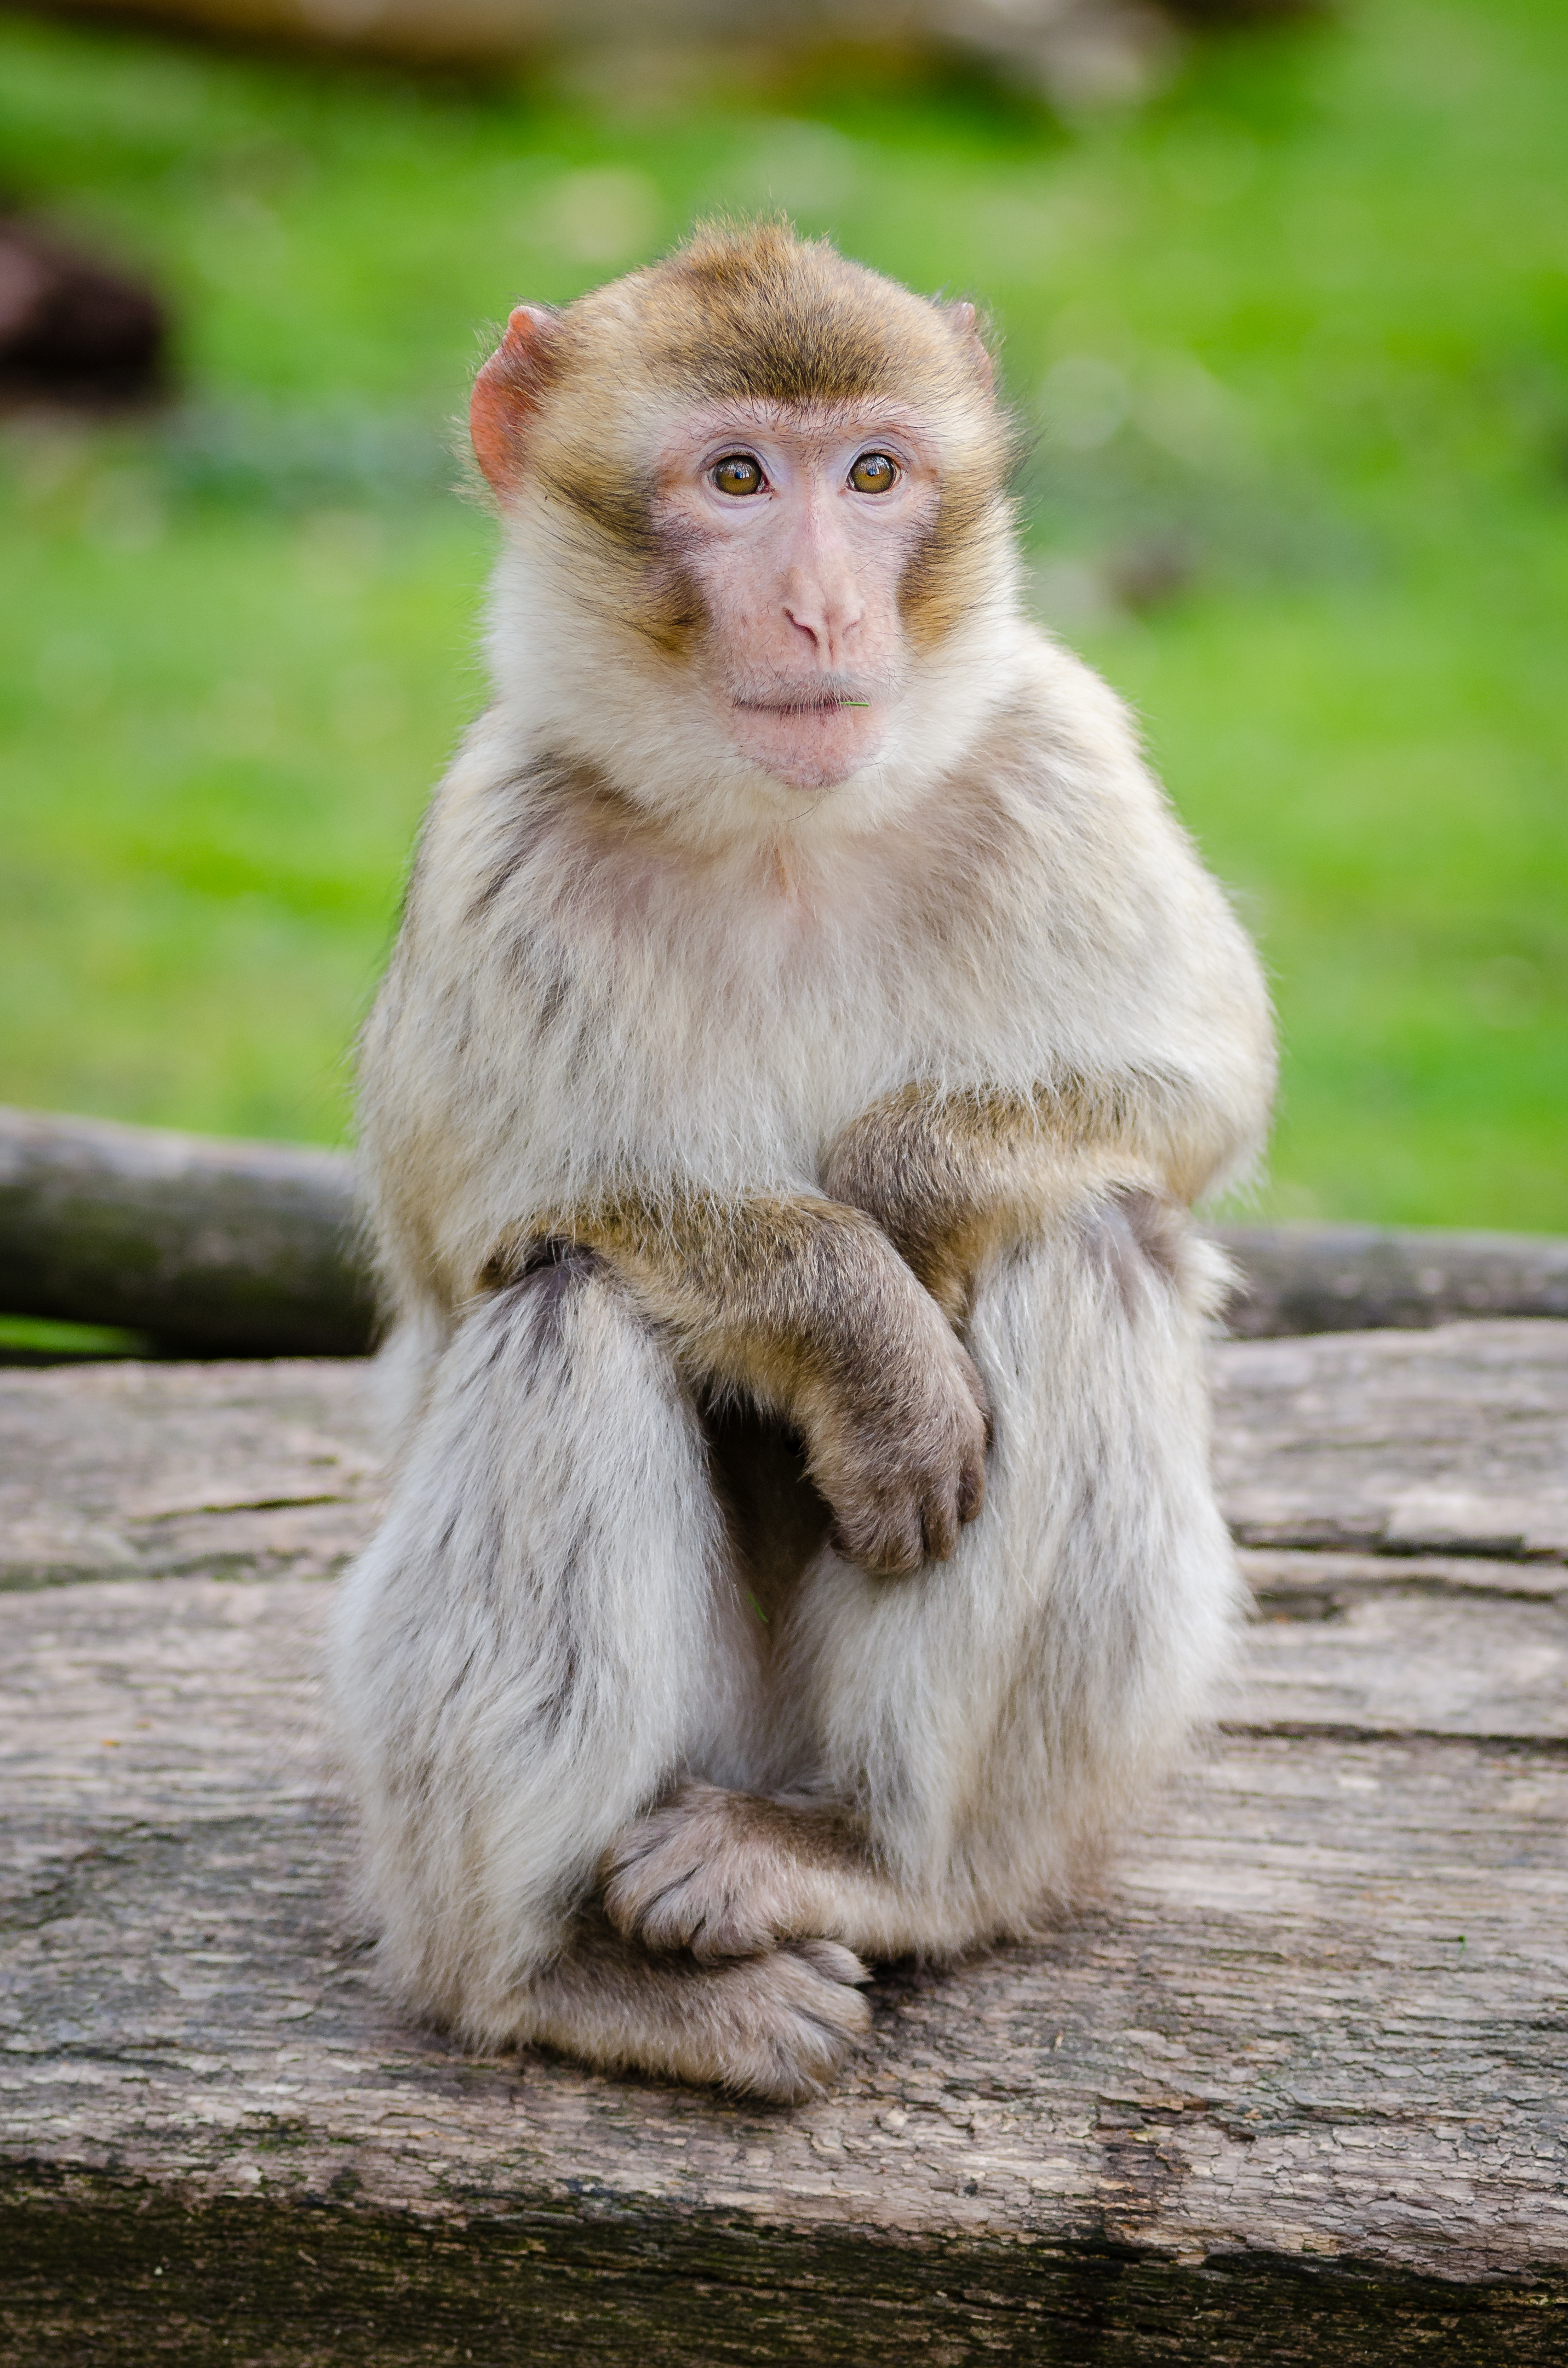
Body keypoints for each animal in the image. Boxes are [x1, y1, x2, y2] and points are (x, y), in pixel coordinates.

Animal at [331, 226, 1279, 2112]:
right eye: (735, 480)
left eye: (872, 475)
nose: (826, 611)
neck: (782, 839)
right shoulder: (497, 844)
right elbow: (490, 1229)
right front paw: (865, 1335)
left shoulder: (1065, 753)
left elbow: (1196, 1087)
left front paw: (903, 1203)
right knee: (569, 1310)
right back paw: (552, 1974)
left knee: (1084, 1233)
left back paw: (876, 1864)